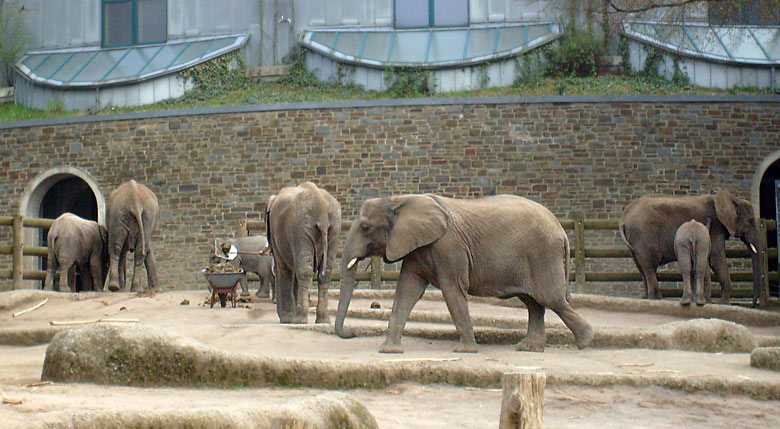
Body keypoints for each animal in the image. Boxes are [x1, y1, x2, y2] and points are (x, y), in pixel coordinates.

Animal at [266, 181, 342, 324]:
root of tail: (321, 206)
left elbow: (283, 268)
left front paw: (286, 319)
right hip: (333, 228)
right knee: (325, 273)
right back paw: (323, 321)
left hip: (300, 228)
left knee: (303, 271)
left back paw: (299, 319)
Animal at [332, 192, 596, 352]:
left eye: (366, 227)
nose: (351, 333)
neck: (401, 199)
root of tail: (561, 228)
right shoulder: (416, 248)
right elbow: (407, 291)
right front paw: (389, 350)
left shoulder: (449, 247)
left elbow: (452, 290)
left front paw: (465, 350)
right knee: (534, 302)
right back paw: (528, 347)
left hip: (542, 254)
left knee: (551, 299)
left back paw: (585, 341)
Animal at [620, 190, 764, 304]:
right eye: (751, 221)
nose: (754, 303)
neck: (730, 198)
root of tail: (623, 219)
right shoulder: (716, 228)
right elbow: (716, 258)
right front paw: (722, 303)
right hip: (645, 235)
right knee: (649, 267)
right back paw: (657, 300)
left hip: (635, 241)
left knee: (642, 268)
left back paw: (648, 298)